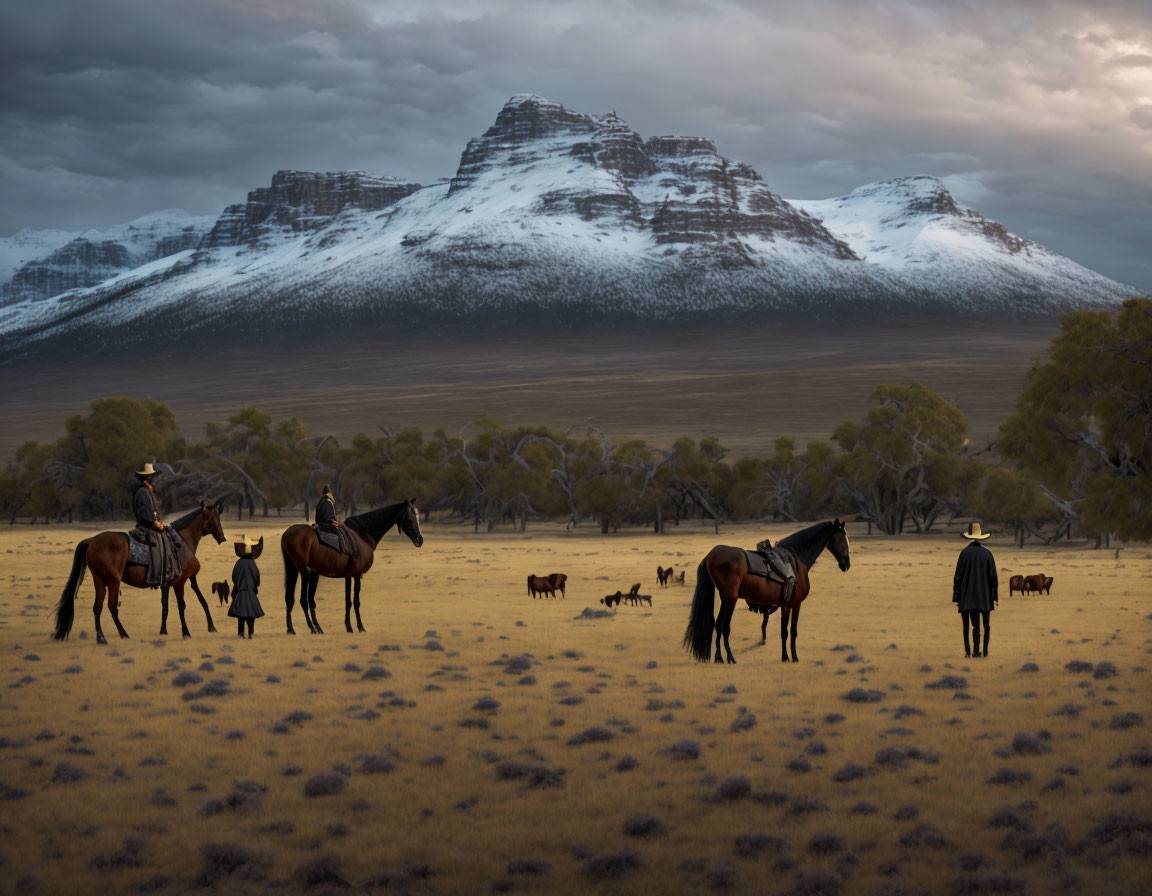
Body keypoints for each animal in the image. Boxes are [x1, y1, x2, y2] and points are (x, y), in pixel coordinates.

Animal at [52, 502, 226, 640]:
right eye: (215, 518)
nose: (222, 538)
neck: (181, 540)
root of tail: (92, 540)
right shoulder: (180, 582)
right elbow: (182, 605)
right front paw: (186, 632)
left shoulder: (172, 582)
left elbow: (170, 605)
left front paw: (164, 630)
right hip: (113, 581)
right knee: (112, 606)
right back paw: (123, 634)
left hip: (99, 580)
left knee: (97, 607)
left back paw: (101, 637)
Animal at [278, 495, 423, 635]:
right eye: (410, 519)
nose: (419, 539)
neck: (363, 535)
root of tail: (286, 534)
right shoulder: (357, 575)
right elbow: (356, 601)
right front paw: (360, 627)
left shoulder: (348, 575)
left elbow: (348, 601)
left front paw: (349, 627)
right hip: (304, 571)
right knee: (303, 599)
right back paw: (312, 628)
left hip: (295, 569)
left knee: (291, 598)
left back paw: (294, 629)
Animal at [686, 515, 852, 663]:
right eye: (842, 539)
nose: (846, 564)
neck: (797, 561)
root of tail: (711, 555)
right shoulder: (796, 604)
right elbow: (792, 632)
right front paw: (793, 658)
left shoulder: (785, 605)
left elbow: (784, 632)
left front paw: (785, 657)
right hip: (731, 598)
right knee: (725, 627)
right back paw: (731, 658)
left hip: (725, 599)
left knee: (718, 625)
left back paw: (719, 658)